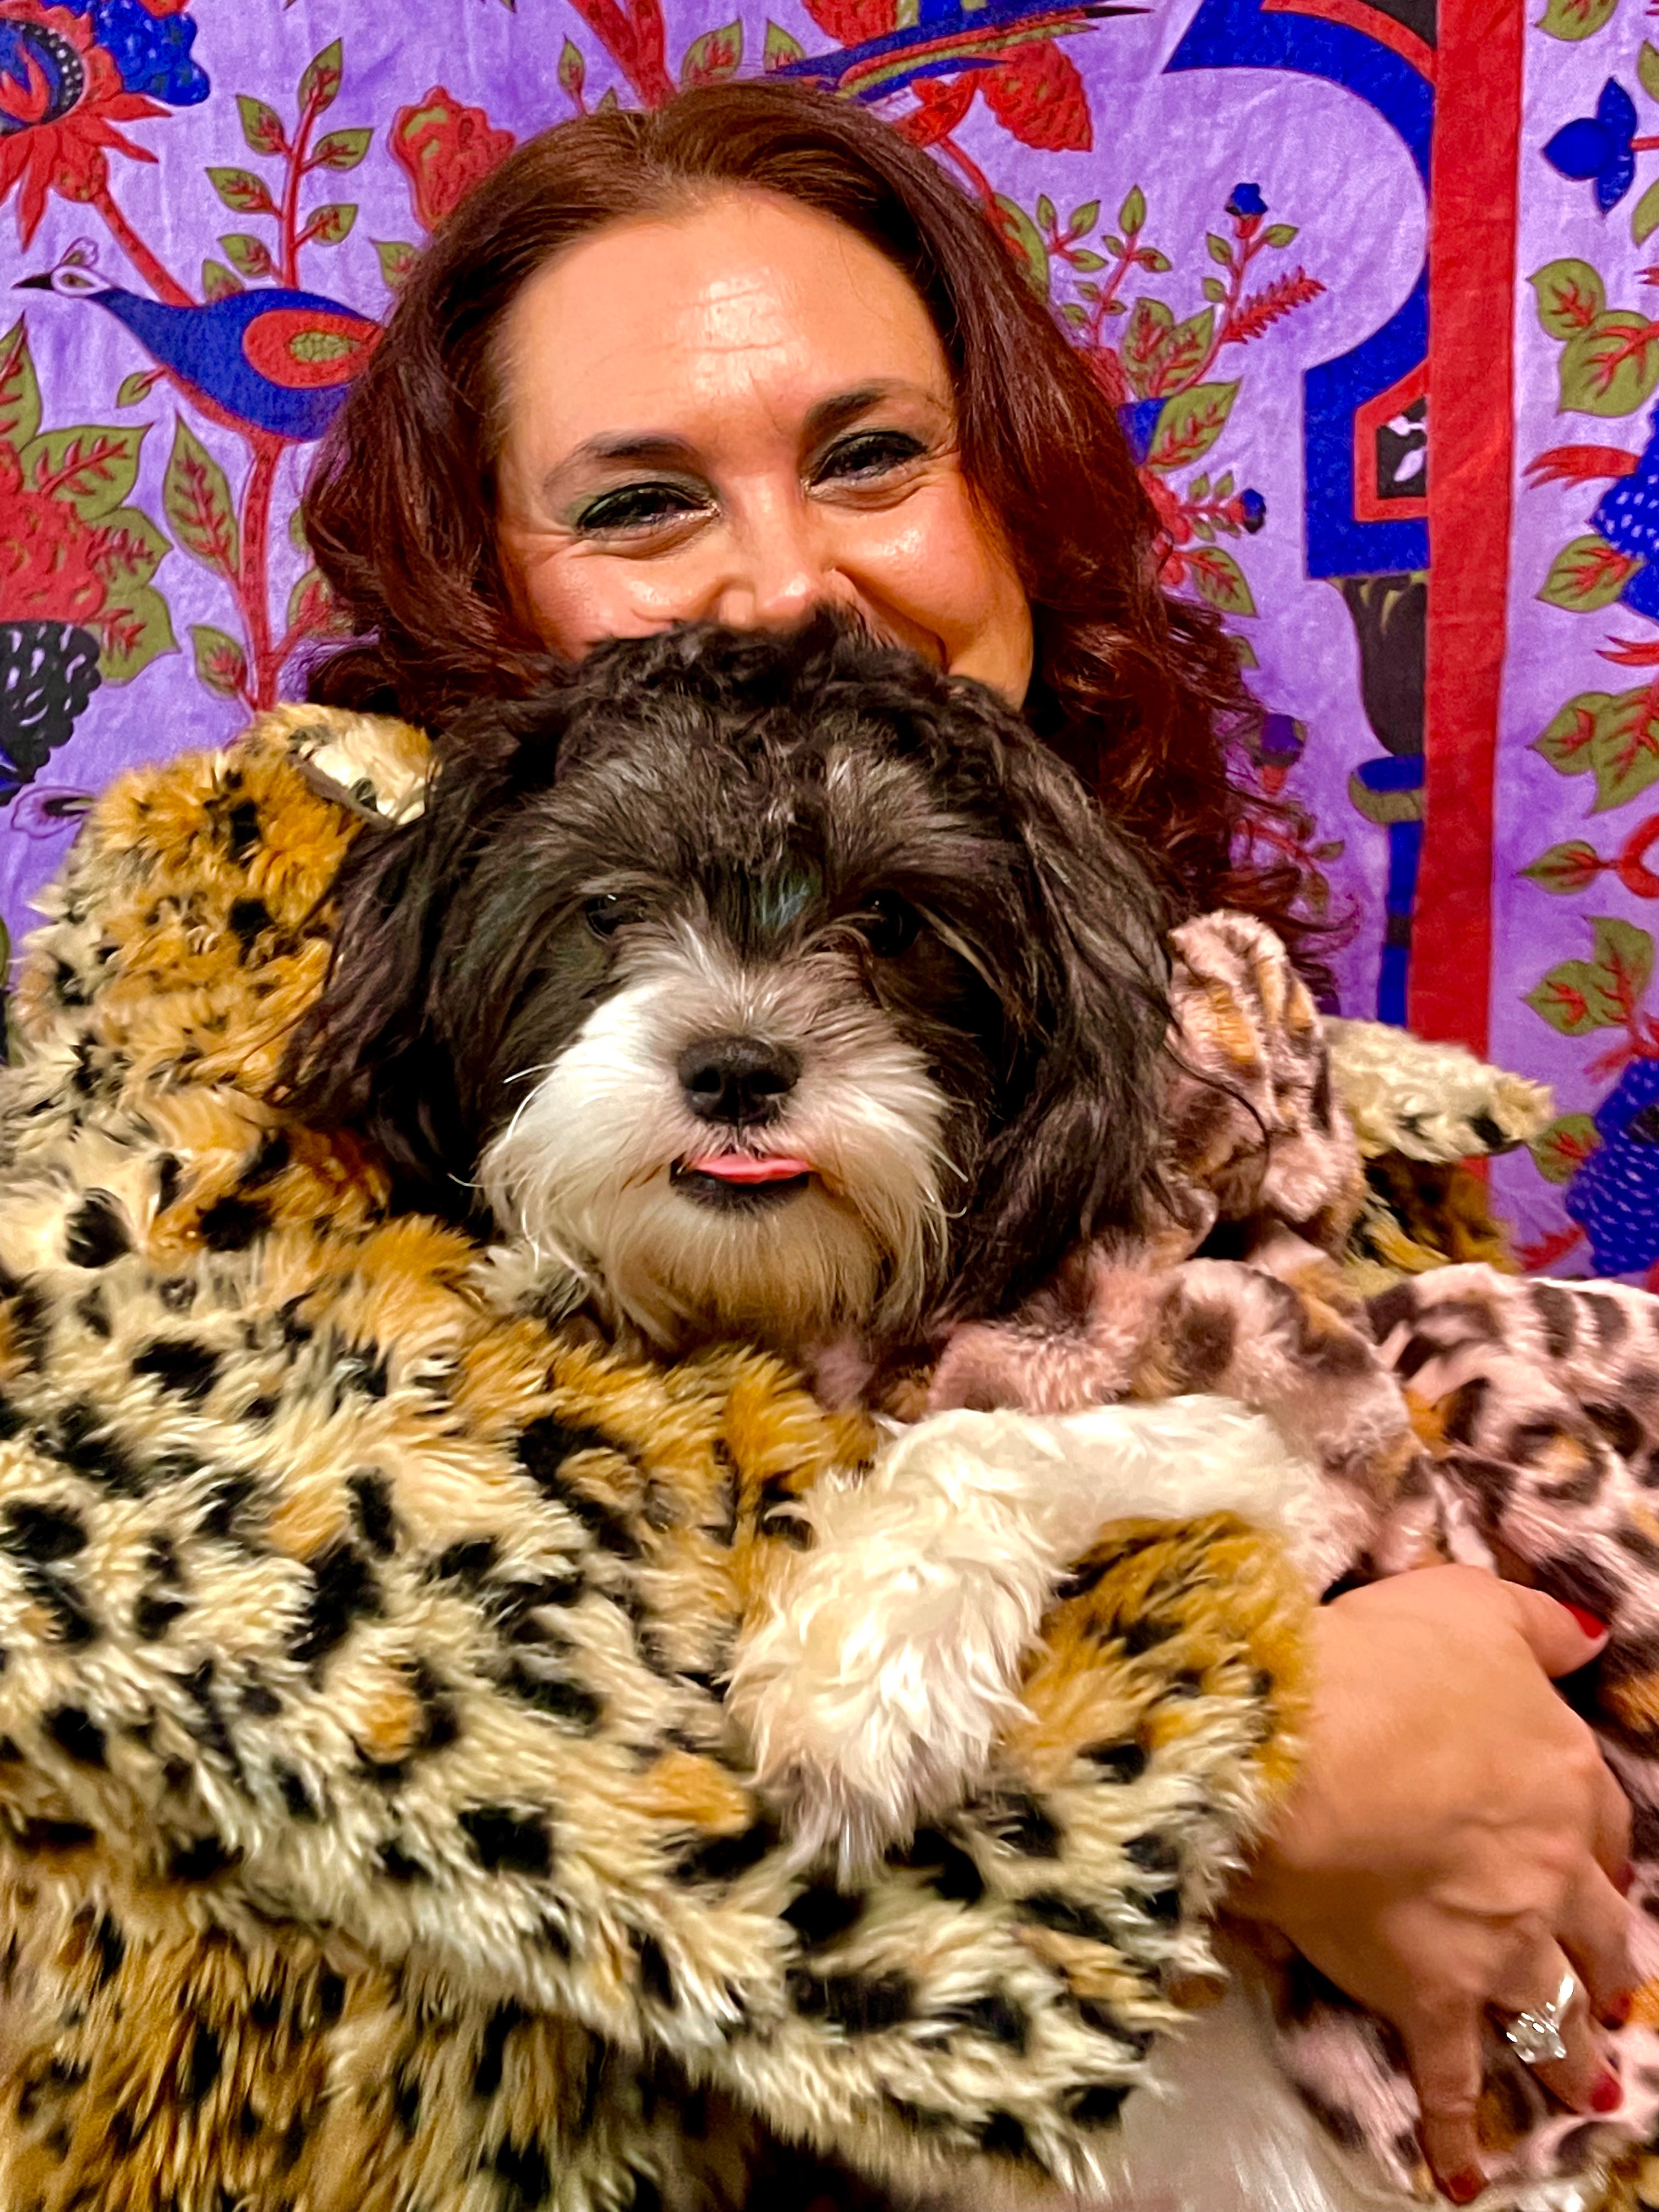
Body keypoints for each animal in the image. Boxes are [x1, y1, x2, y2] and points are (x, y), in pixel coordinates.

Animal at [282, 616, 1311, 1869]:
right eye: (607, 907)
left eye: (892, 920)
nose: (735, 1068)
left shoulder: (1290, 1454)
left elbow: (991, 1439)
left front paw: (865, 1683)